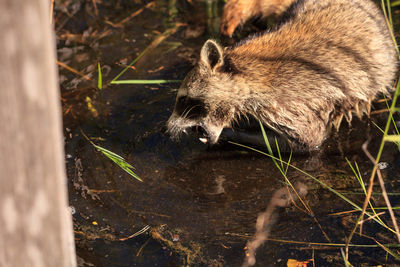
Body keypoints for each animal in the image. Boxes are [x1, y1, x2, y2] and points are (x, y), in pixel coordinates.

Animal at [166, 0, 396, 150]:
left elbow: (308, 140)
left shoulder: (291, 103)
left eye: (183, 99)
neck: (247, 71)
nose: (165, 131)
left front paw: (232, 134)